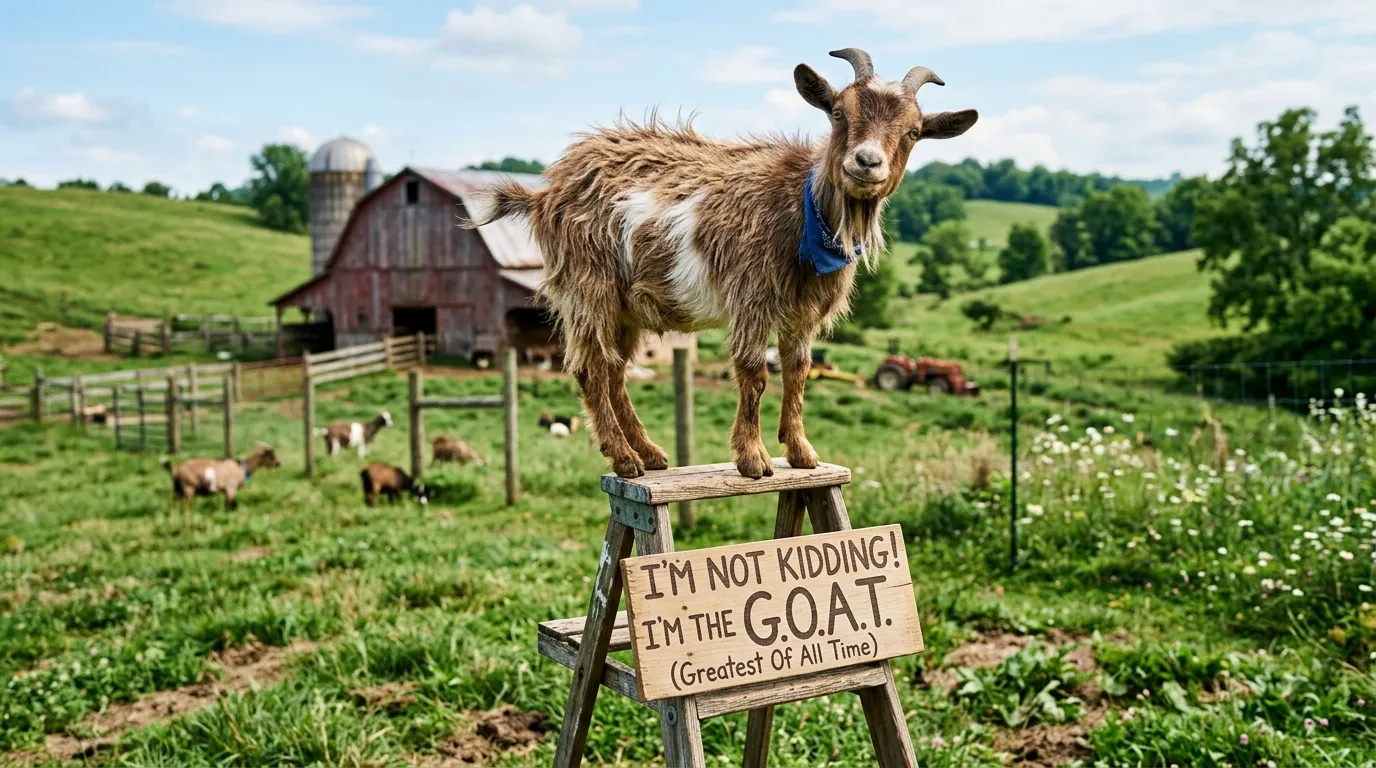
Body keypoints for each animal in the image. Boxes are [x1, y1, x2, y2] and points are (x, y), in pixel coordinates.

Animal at [464, 48, 976, 478]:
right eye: (837, 113)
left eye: (913, 132)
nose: (866, 162)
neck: (800, 211)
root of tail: (546, 190)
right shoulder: (751, 296)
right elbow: (753, 373)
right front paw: (753, 459)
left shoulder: (803, 313)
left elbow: (798, 371)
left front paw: (802, 453)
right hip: (589, 285)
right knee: (591, 367)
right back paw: (625, 458)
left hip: (625, 308)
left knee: (614, 370)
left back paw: (650, 454)